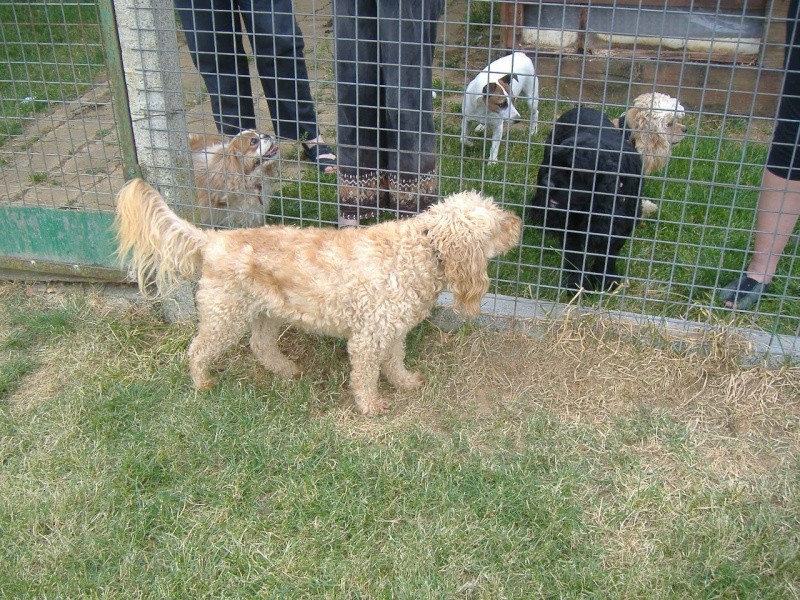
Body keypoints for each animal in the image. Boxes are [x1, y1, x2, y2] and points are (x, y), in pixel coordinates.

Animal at [115, 176, 520, 414]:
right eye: (498, 222)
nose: (518, 223)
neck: (421, 249)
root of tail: (212, 240)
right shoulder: (367, 339)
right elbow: (366, 376)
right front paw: (371, 405)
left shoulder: (392, 331)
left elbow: (394, 362)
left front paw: (405, 383)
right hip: (223, 316)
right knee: (197, 350)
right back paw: (202, 383)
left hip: (266, 313)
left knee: (260, 346)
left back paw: (285, 370)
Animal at [528, 108, 648, 292]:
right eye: (556, 163)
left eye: (574, 171)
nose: (547, 182)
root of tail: (580, 107)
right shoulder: (570, 222)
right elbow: (574, 253)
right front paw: (577, 284)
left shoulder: (623, 224)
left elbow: (609, 252)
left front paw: (606, 280)